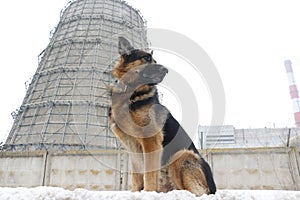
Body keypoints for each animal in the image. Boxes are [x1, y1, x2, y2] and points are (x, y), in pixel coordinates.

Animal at [109, 36, 216, 195]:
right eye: (146, 58)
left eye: (154, 59)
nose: (166, 70)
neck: (132, 93)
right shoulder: (131, 145)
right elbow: (136, 176)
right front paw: (135, 193)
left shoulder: (151, 140)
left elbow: (149, 174)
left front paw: (148, 193)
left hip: (182, 155)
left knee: (195, 192)